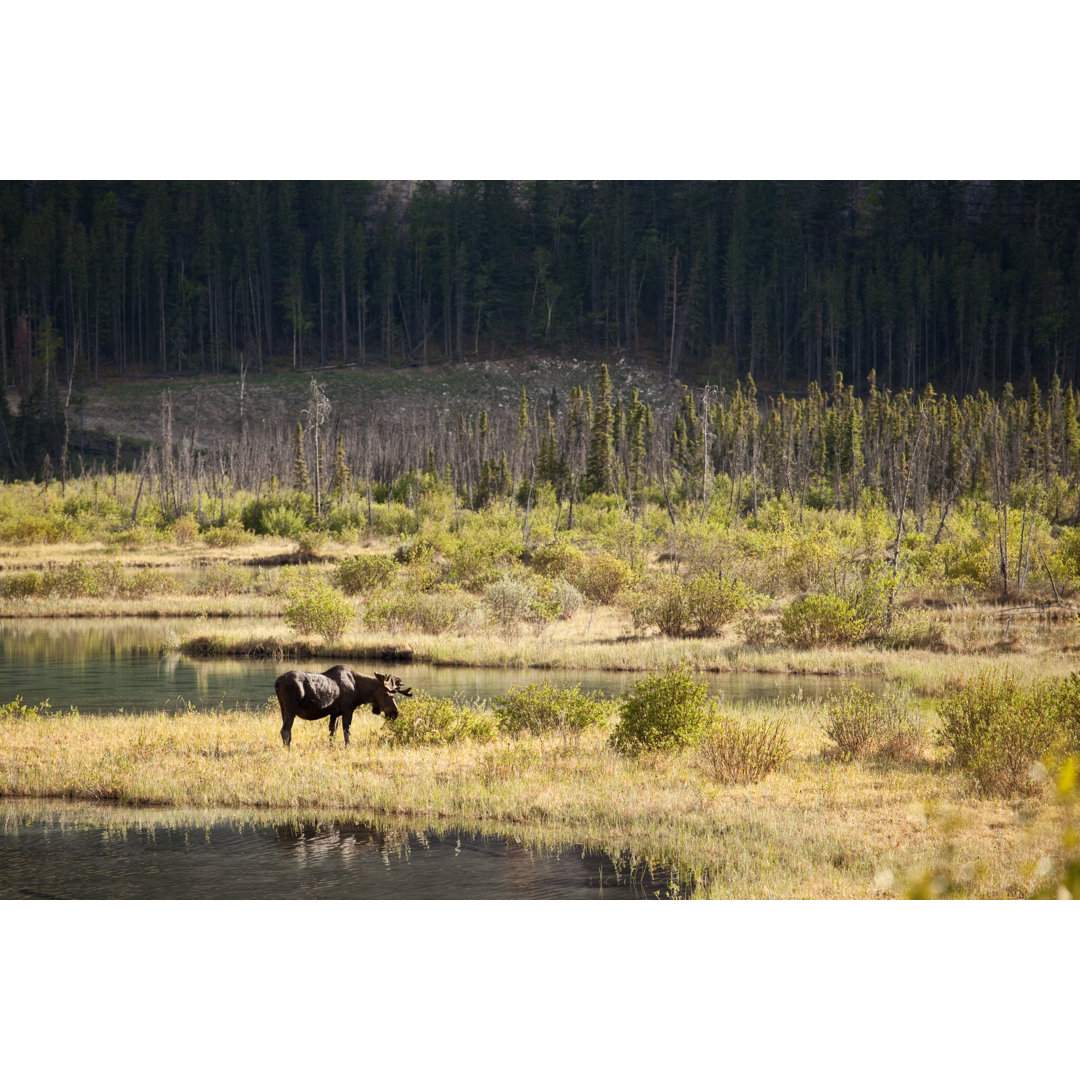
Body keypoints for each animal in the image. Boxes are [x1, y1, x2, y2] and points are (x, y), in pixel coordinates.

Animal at [274, 660, 412, 747]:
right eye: (388, 694)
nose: (395, 712)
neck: (360, 691)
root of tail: (277, 682)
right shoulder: (347, 709)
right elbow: (347, 731)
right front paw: (348, 747)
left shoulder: (335, 713)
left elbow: (332, 732)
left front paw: (331, 747)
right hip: (291, 707)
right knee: (285, 731)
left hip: (283, 708)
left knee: (285, 730)